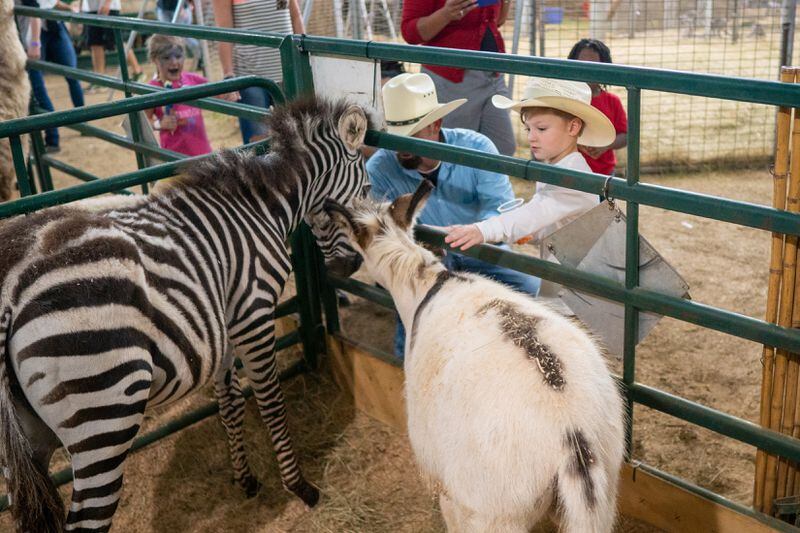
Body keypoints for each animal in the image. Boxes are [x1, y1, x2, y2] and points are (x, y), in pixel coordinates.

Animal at [0, 95, 370, 532]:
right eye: (366, 189)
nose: (348, 268)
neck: (263, 209)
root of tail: (11, 290)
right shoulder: (253, 312)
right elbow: (270, 402)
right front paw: (299, 486)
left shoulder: (225, 321)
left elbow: (229, 402)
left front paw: (244, 478)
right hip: (102, 410)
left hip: (30, 436)